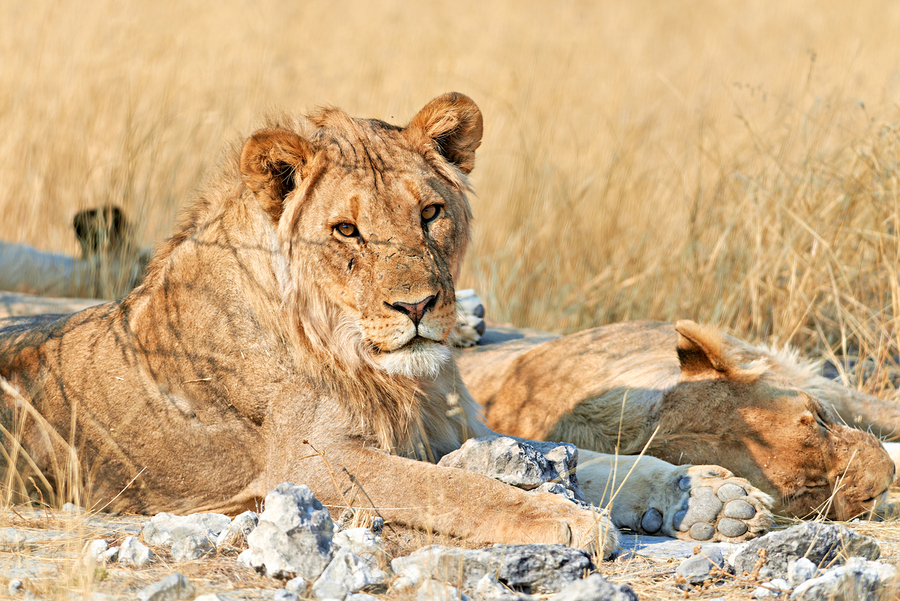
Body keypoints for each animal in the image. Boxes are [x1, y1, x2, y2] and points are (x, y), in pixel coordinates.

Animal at [0, 93, 773, 555]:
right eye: (346, 229)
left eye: (429, 213)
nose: (418, 307)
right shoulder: (311, 461)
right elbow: (455, 487)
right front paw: (566, 518)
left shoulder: (458, 428)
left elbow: (599, 458)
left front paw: (712, 494)